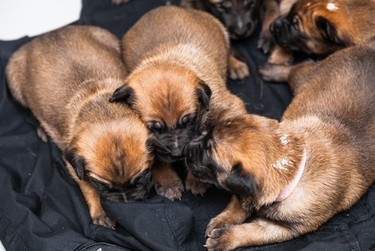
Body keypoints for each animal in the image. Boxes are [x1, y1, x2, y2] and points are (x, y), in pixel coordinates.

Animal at [6, 25, 155, 229]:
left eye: (142, 177)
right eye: (102, 186)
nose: (126, 200)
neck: (102, 107)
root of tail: (46, 33)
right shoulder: (75, 168)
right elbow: (88, 188)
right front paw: (100, 211)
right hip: (14, 83)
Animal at [110, 5, 248, 200]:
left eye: (189, 121)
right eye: (154, 127)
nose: (176, 154)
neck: (168, 59)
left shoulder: (229, 108)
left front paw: (196, 179)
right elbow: (157, 158)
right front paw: (168, 181)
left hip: (221, 31)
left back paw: (236, 65)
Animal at [184, 40, 375, 249]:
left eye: (209, 155)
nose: (186, 149)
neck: (290, 163)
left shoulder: (285, 228)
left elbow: (252, 231)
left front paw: (225, 237)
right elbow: (237, 204)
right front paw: (223, 220)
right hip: (309, 75)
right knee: (299, 68)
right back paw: (271, 70)